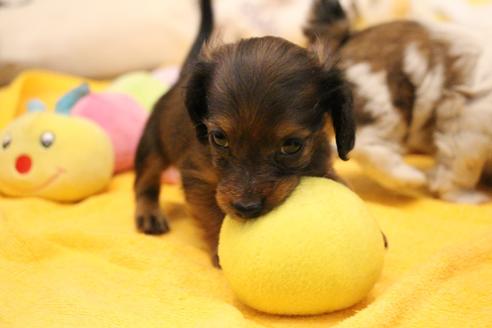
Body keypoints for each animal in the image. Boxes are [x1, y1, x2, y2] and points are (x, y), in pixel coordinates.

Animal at [136, 0, 356, 264]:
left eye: (292, 146)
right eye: (219, 138)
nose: (246, 208)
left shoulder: (321, 162)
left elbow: (339, 182)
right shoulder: (197, 176)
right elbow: (212, 212)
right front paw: (219, 248)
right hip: (153, 144)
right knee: (145, 180)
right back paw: (148, 213)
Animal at [304, 0, 492, 204]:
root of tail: (348, 37)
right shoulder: (471, 118)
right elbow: (465, 162)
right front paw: (463, 195)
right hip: (380, 98)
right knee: (366, 144)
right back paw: (407, 177)